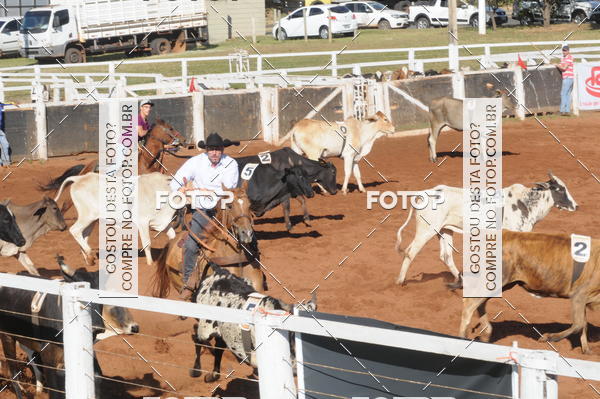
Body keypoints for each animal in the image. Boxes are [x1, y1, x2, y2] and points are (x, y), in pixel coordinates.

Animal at [394, 173, 576, 286]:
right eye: (560, 189)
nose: (575, 205)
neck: (525, 203)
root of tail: (423, 194)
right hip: (426, 230)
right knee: (410, 252)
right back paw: (400, 281)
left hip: (444, 230)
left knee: (446, 256)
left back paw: (461, 280)